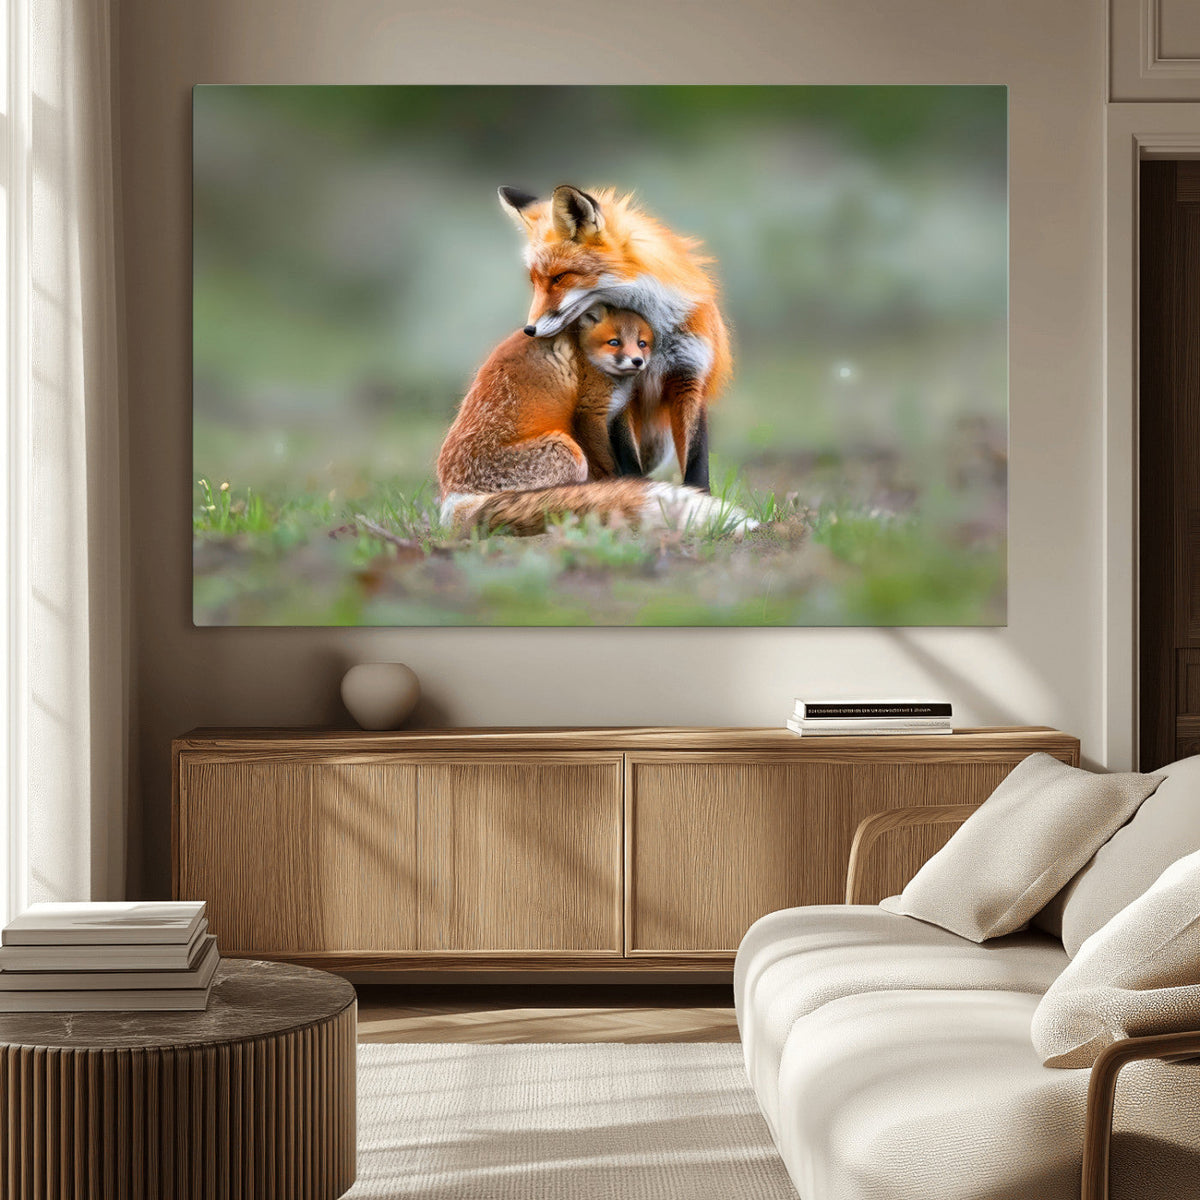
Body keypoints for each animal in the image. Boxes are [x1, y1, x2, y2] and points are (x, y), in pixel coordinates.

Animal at [437, 306, 751, 537]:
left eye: (642, 343)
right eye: (614, 342)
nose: (637, 361)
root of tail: (454, 498)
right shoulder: (590, 412)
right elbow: (610, 466)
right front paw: (621, 489)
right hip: (568, 452)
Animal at [498, 183, 732, 492]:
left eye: (559, 277)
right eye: (534, 282)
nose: (529, 330)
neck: (654, 334)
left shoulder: (689, 378)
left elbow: (696, 462)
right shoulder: (620, 391)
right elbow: (628, 460)